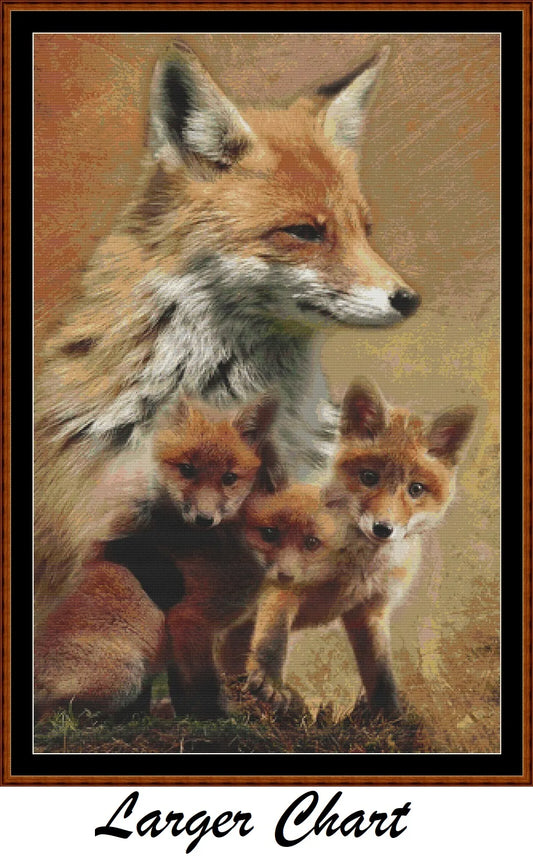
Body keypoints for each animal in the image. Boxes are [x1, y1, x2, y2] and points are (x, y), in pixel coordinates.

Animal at [35, 394, 282, 718]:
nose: (204, 519)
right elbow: (203, 686)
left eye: (230, 478)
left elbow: (183, 689)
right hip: (125, 677)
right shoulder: (190, 618)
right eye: (187, 470)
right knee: (56, 714)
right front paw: (214, 716)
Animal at [243, 379, 476, 717]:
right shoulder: (285, 582)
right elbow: (272, 641)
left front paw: (389, 714)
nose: (383, 528)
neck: (356, 570)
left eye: (416, 489)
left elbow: (381, 672)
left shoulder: (370, 611)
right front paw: (270, 684)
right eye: (369, 477)